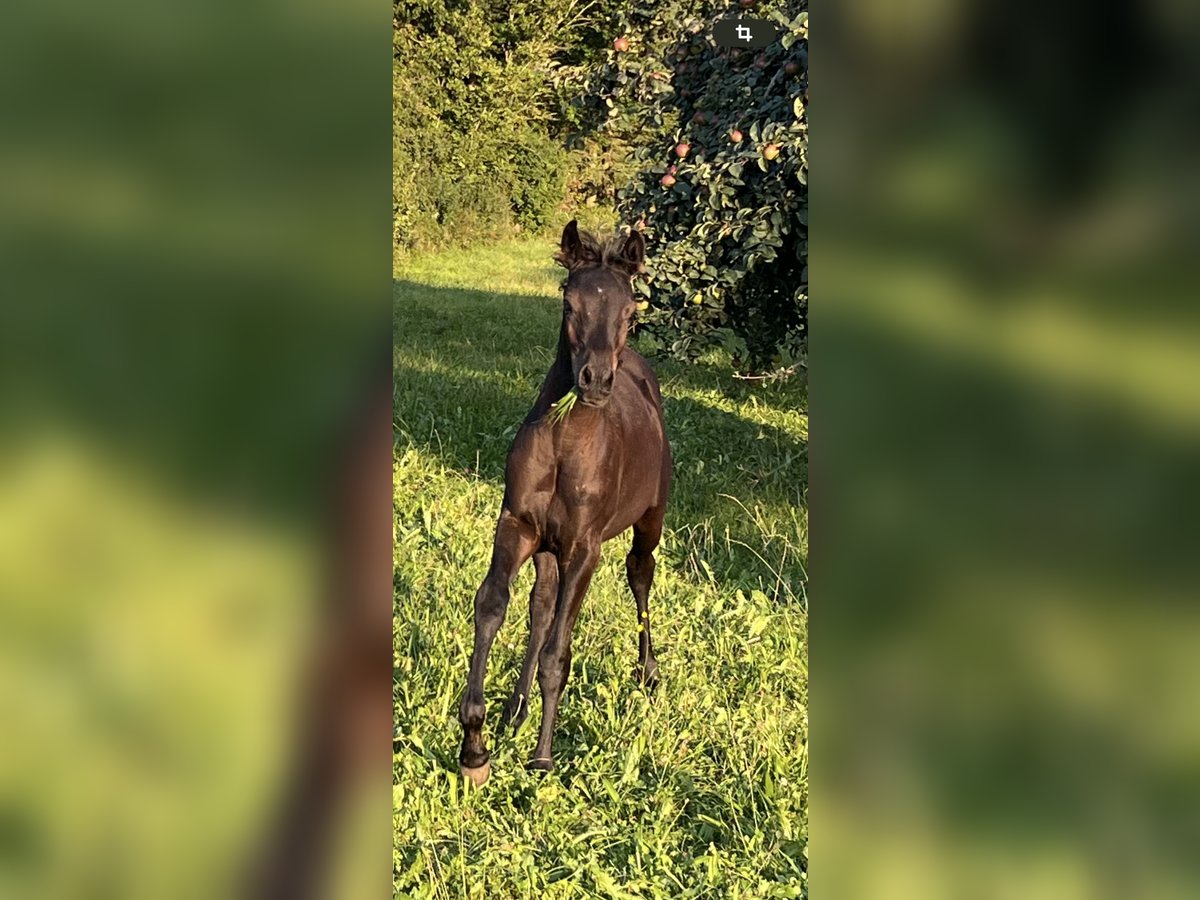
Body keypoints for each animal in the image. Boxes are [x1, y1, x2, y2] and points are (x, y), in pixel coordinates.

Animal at [456, 222, 672, 787]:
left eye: (631, 313)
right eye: (569, 303)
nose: (595, 380)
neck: (564, 444)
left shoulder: (585, 548)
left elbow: (559, 651)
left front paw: (542, 757)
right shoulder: (518, 526)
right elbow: (493, 605)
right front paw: (475, 747)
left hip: (649, 521)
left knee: (640, 574)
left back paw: (648, 673)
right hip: (548, 549)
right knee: (541, 605)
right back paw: (516, 708)